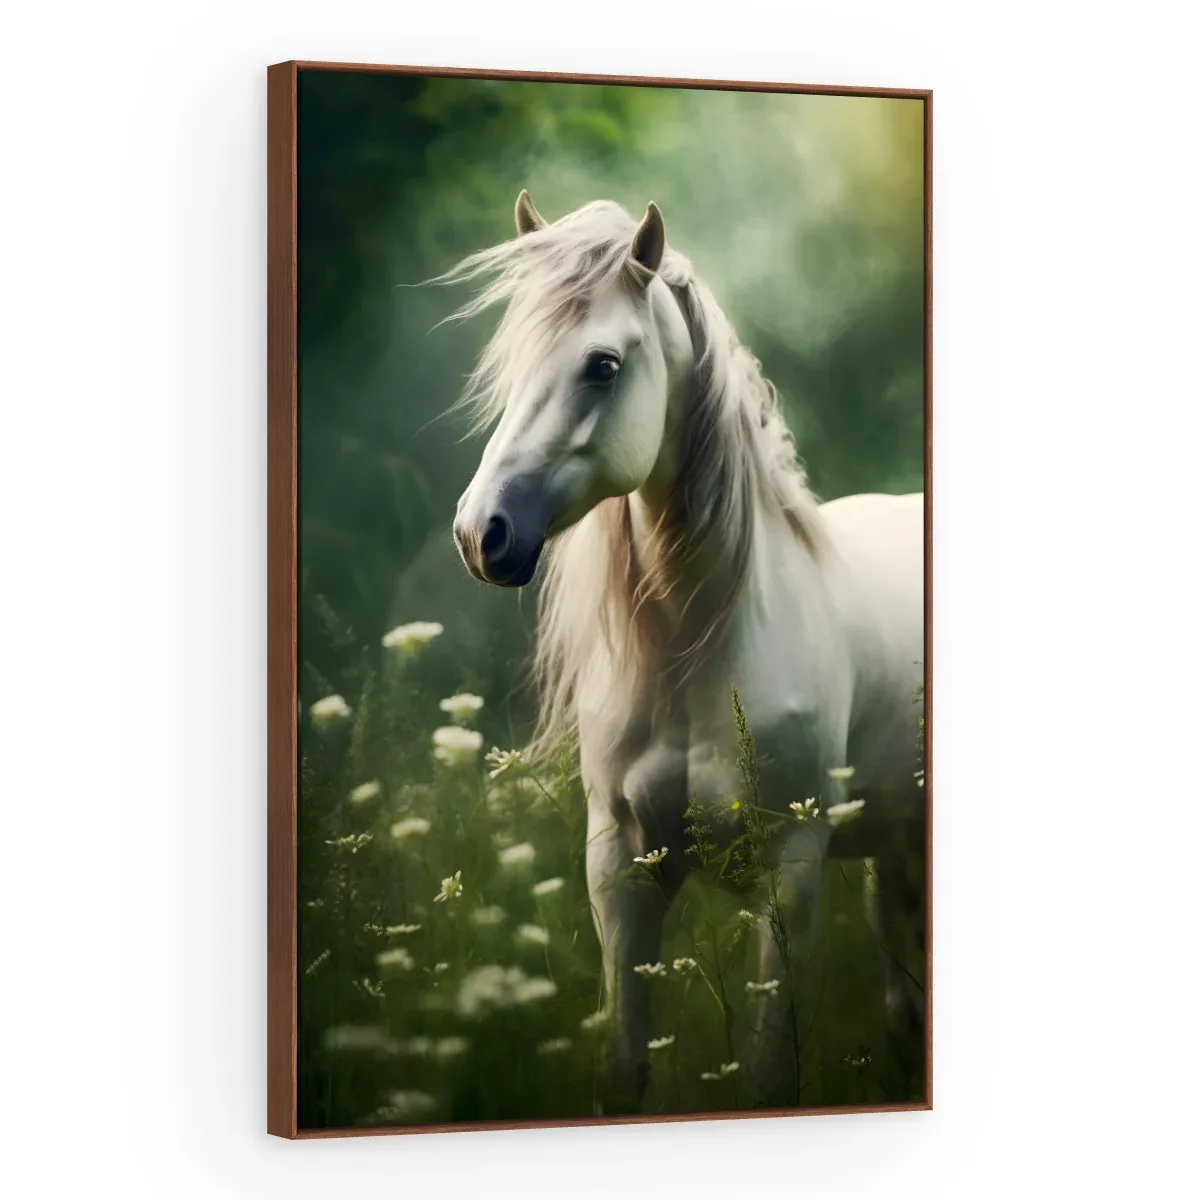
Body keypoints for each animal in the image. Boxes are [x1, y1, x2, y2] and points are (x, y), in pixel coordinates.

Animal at [446, 190, 926, 1108]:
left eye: (602, 365)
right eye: (512, 361)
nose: (481, 533)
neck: (702, 650)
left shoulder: (791, 868)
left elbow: (772, 1073)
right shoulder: (621, 867)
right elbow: (623, 1064)